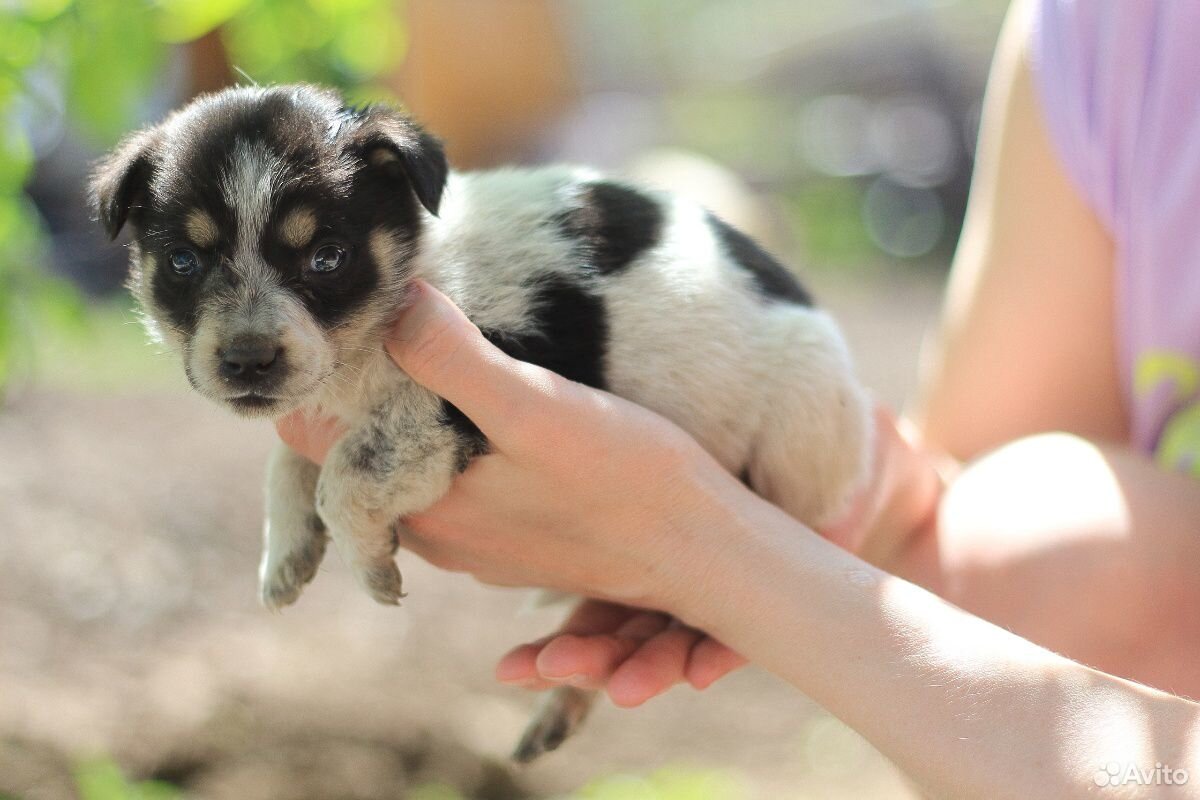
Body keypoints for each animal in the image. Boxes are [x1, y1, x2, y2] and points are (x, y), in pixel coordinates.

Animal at [87, 84, 873, 762]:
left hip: (801, 431)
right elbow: (290, 463)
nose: (248, 361)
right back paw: (560, 707)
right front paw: (285, 556)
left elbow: (346, 475)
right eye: (182, 261)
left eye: (327, 257)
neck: (412, 277)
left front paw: (371, 567)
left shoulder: (457, 401)